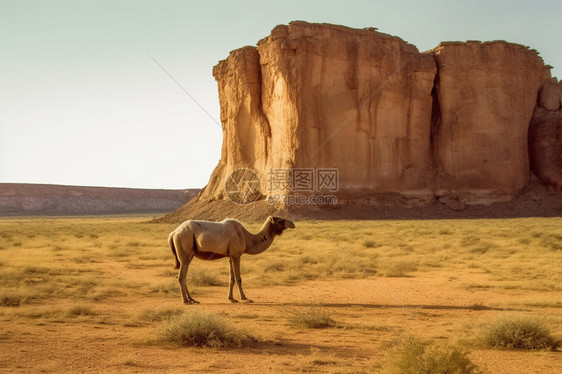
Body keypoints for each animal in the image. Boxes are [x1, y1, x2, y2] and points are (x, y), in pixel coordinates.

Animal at [168, 216, 296, 304]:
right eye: (279, 220)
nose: (292, 223)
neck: (246, 237)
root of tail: (173, 233)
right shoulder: (236, 255)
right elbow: (238, 278)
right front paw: (245, 298)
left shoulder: (230, 256)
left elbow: (231, 278)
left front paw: (231, 298)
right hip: (185, 252)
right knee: (181, 276)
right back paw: (186, 301)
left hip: (189, 255)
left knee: (183, 276)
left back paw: (192, 299)